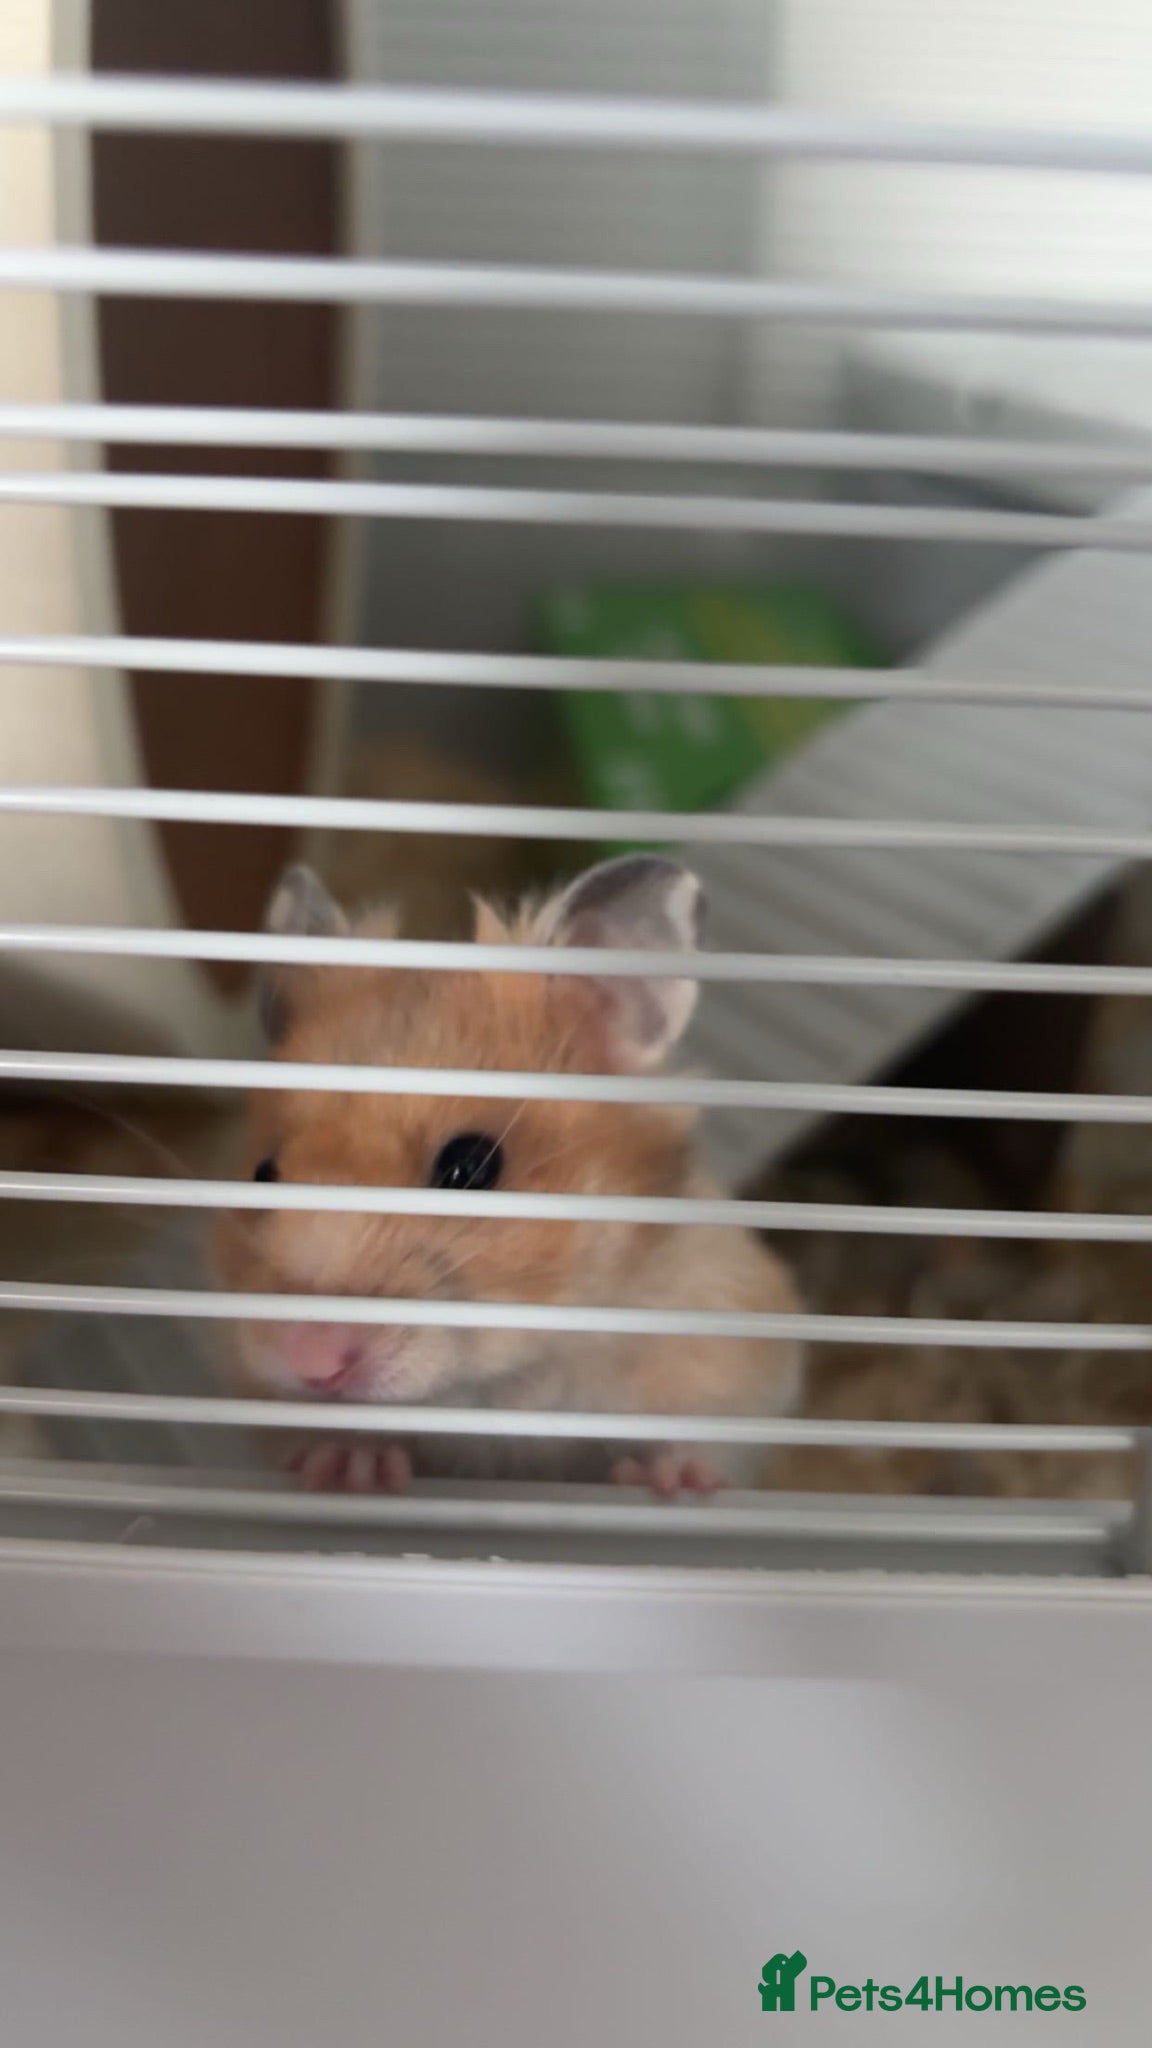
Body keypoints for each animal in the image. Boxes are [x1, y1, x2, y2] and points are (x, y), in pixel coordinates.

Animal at [212, 853, 804, 1496]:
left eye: (471, 1166)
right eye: (263, 1175)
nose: (310, 1361)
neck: (501, 1386)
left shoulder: (733, 1353)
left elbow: (705, 1441)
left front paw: (669, 1481)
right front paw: (351, 1471)